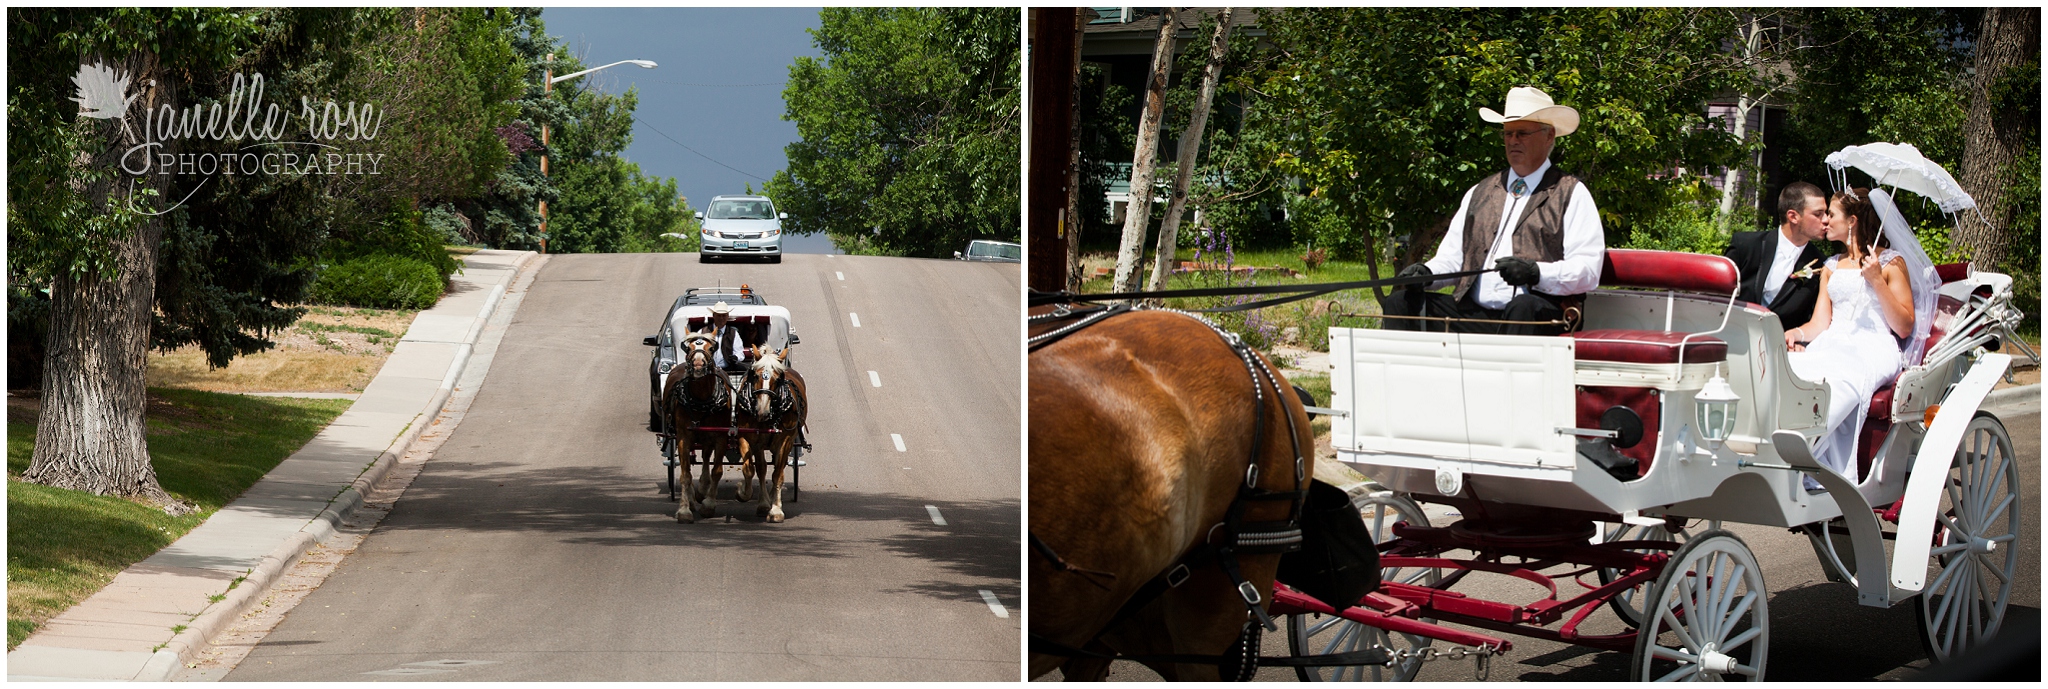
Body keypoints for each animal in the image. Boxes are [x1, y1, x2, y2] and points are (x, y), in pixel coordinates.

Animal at [733, 344, 802, 522]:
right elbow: (753, 469)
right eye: (756, 375)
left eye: (777, 379)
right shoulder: (749, 438)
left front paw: (776, 510)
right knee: (764, 468)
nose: (762, 411)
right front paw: (744, 493)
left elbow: (778, 474)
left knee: (779, 467)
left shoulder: (786, 440)